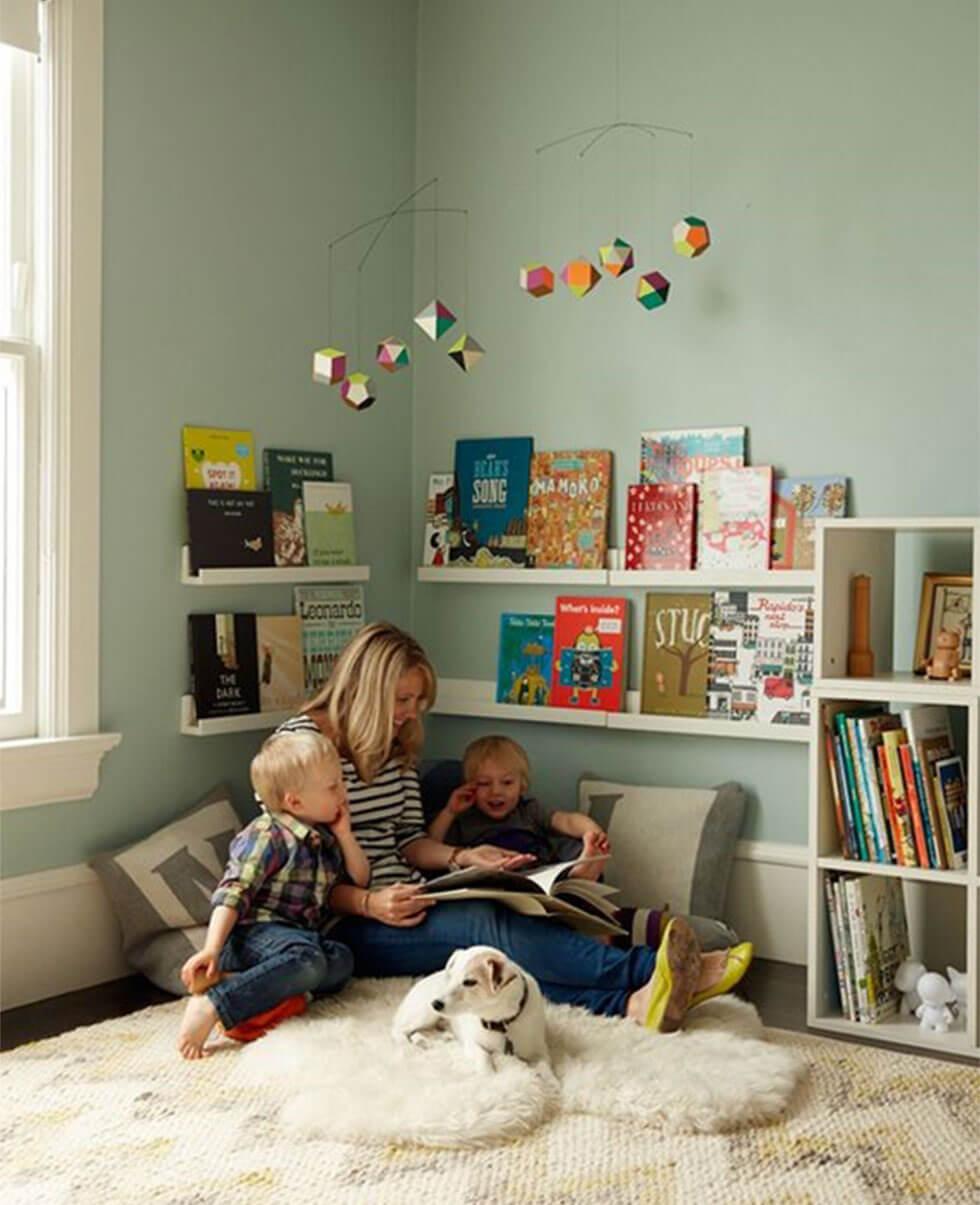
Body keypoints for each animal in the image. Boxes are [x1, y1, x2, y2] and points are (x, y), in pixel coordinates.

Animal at [392, 939, 549, 1074]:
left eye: (469, 982)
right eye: (450, 977)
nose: (435, 1003)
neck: (499, 1020)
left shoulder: (540, 1050)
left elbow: (545, 1067)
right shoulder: (472, 1043)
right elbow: (484, 1057)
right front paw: (490, 1076)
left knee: (419, 1032)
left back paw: (432, 1039)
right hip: (424, 1015)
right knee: (400, 1030)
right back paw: (409, 1045)